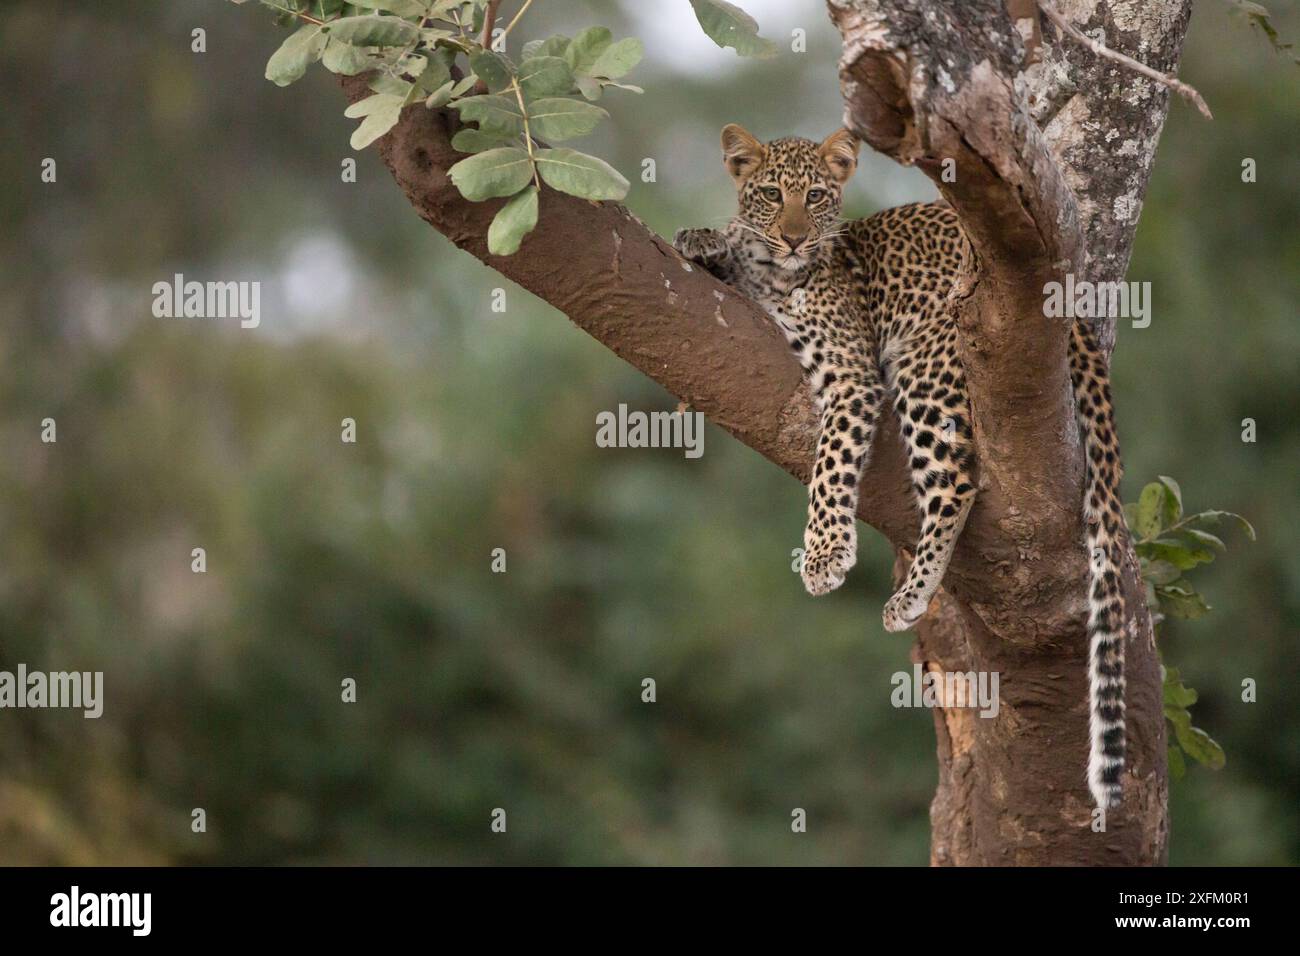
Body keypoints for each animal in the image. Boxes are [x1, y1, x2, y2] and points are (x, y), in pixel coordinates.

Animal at [673, 124, 1129, 810]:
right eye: (771, 193)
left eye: (816, 195)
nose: (795, 237)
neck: (775, 275)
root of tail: (1069, 308)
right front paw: (704, 238)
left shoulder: (850, 373)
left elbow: (829, 469)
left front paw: (824, 556)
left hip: (927, 363)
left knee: (957, 480)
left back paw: (911, 594)